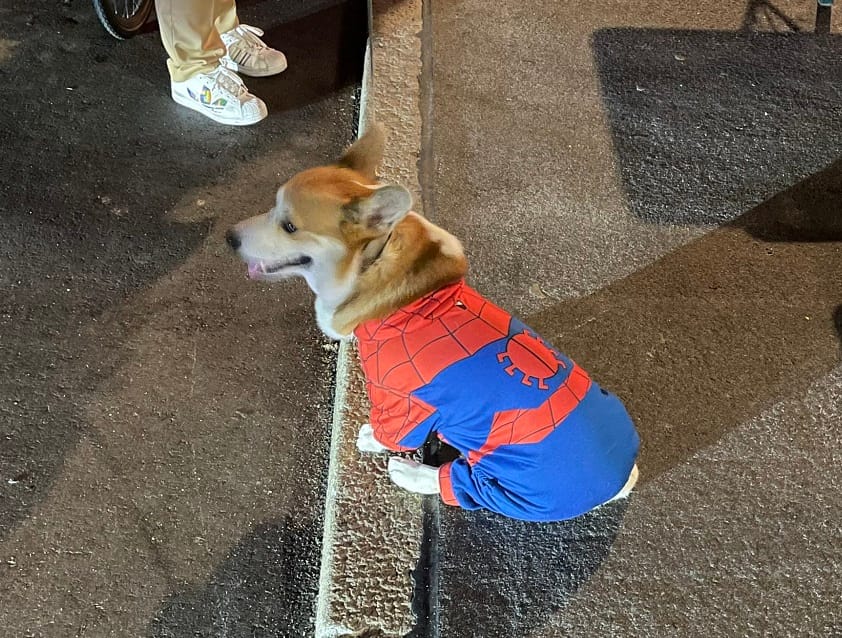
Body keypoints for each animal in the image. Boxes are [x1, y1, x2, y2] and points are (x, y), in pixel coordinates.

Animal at [226, 124, 640, 522]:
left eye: (289, 226)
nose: (229, 237)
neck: (371, 264)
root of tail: (623, 479)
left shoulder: (400, 397)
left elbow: (391, 429)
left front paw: (373, 438)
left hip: (512, 481)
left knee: (463, 486)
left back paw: (412, 473)